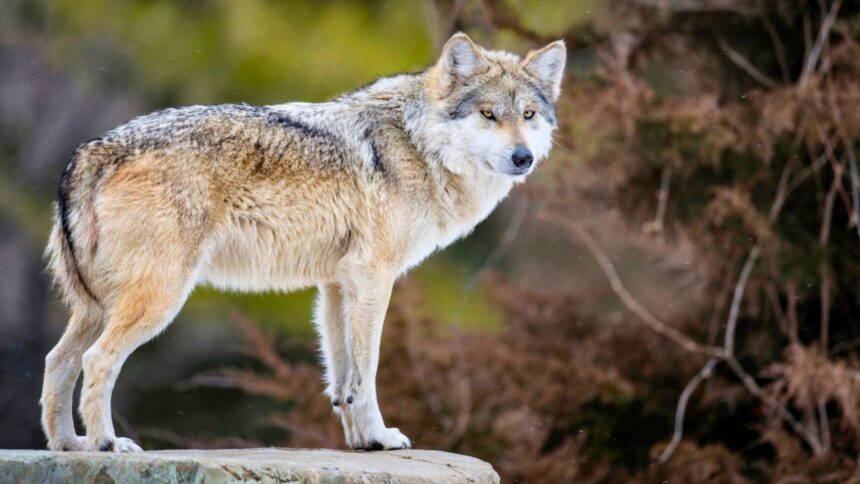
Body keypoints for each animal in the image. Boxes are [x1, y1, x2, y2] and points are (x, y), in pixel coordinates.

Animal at [40, 33, 566, 452]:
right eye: (488, 114)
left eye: (528, 115)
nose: (523, 157)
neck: (418, 144)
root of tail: (92, 149)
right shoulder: (373, 278)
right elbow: (367, 369)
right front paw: (381, 436)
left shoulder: (337, 284)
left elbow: (342, 378)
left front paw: (361, 442)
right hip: (158, 300)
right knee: (96, 360)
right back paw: (106, 444)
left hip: (96, 307)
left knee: (58, 361)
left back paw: (70, 446)